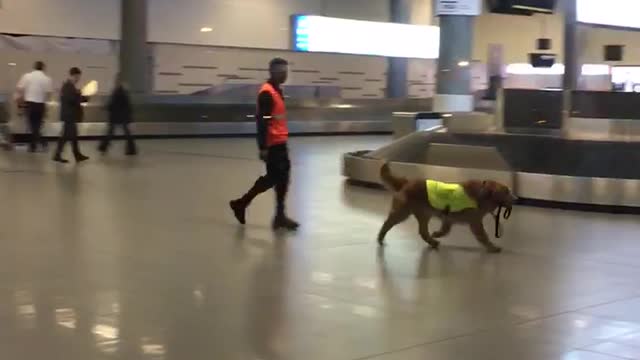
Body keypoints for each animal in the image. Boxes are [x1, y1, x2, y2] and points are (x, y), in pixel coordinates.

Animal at [378, 164, 516, 253]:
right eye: (507, 192)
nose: (517, 199)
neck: (483, 194)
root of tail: (406, 183)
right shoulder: (475, 222)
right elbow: (484, 236)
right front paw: (492, 247)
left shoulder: (448, 218)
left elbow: (445, 229)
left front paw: (437, 234)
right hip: (403, 212)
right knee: (387, 223)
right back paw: (380, 236)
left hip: (424, 214)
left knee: (423, 232)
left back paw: (433, 242)